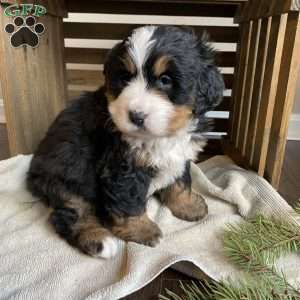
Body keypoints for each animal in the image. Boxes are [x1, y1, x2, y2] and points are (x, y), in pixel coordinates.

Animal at [27, 25, 224, 258]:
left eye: (165, 80)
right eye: (124, 78)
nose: (136, 116)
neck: (160, 136)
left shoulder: (180, 156)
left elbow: (181, 182)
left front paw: (188, 205)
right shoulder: (121, 167)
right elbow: (129, 200)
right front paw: (142, 230)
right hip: (66, 178)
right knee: (70, 213)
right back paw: (98, 239)